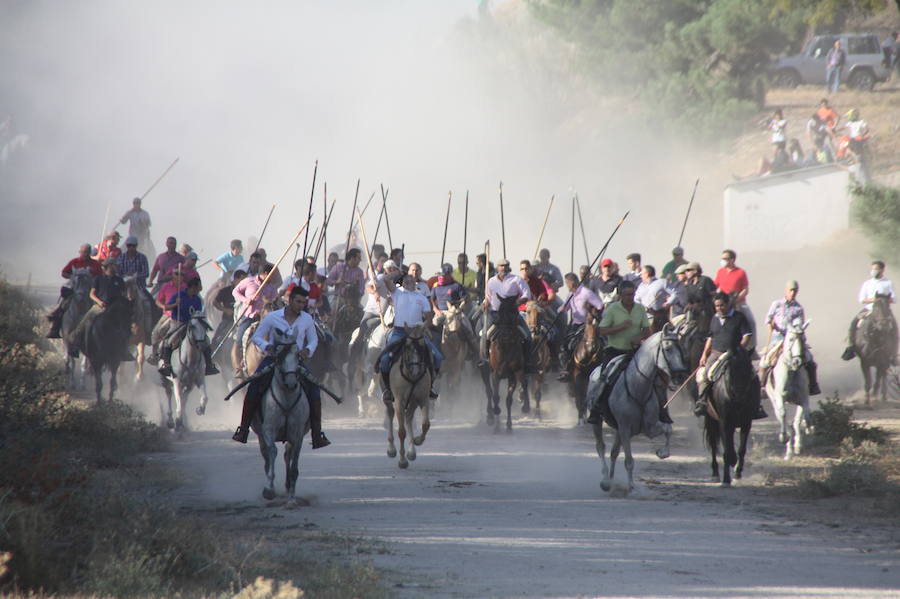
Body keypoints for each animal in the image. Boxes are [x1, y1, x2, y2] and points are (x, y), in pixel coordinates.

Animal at [251, 328, 312, 502]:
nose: (291, 383)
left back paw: (287, 486)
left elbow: (294, 463)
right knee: (266, 455)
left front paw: (291, 498)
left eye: (298, 355)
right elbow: (272, 452)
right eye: (278, 357)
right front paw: (269, 489)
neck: (286, 398)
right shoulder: (268, 430)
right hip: (259, 433)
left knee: (287, 454)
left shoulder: (298, 434)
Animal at [384, 324, 432, 468]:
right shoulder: (399, 401)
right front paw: (402, 461)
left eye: (422, 346)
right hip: (389, 398)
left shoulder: (423, 398)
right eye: (407, 346)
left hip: (413, 401)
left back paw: (412, 451)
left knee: (409, 417)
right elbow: (401, 432)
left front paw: (417, 441)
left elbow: (426, 424)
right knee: (390, 413)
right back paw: (391, 449)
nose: (415, 370)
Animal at [584, 328, 688, 492]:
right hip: (598, 422)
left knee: (614, 452)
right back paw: (606, 481)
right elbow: (629, 460)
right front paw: (631, 486)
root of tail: (594, 371)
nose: (682, 375)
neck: (638, 388)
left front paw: (662, 453)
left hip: (618, 429)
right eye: (668, 349)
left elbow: (668, 429)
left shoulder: (647, 427)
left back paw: (611, 480)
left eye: (681, 348)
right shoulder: (626, 428)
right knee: (601, 447)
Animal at [700, 350, 756, 486]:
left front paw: (737, 472)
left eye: (749, 369)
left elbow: (741, 449)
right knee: (714, 445)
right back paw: (715, 473)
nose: (739, 397)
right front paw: (726, 478)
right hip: (711, 420)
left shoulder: (747, 422)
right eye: (731, 371)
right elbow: (727, 450)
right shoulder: (725, 423)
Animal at [768, 318, 816, 460]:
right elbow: (784, 415)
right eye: (790, 339)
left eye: (803, 339)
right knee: (782, 418)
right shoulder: (779, 398)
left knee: (795, 422)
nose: (797, 362)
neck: (791, 372)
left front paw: (808, 430)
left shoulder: (803, 398)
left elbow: (803, 416)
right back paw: (788, 450)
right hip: (774, 401)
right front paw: (783, 437)